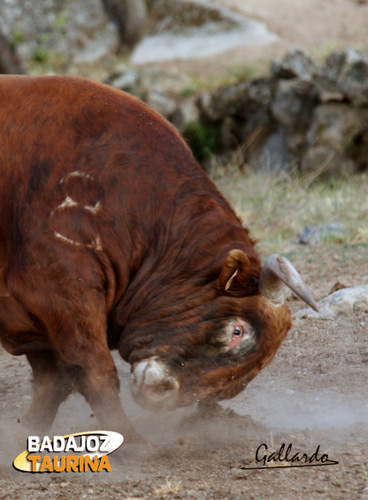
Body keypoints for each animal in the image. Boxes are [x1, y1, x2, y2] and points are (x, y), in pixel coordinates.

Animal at [0, 74, 316, 442]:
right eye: (237, 331)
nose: (162, 393)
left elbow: (53, 382)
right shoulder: (61, 293)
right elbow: (94, 372)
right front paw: (134, 445)